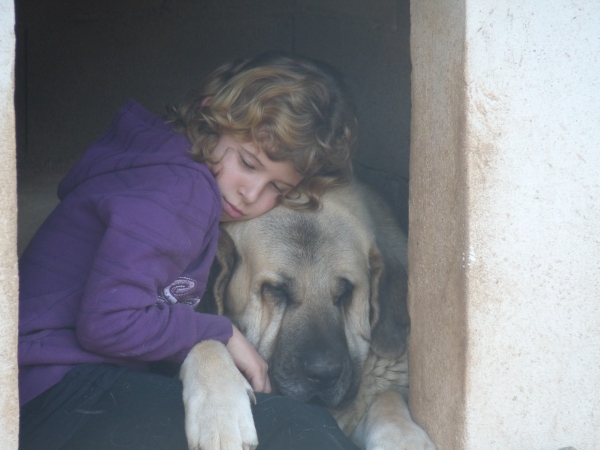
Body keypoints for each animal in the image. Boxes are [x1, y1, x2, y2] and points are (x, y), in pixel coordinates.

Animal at [178, 180, 436, 450]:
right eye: (276, 290)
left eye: (346, 292)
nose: (324, 374)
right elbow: (205, 337)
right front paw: (220, 411)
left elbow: (388, 397)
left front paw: (403, 437)